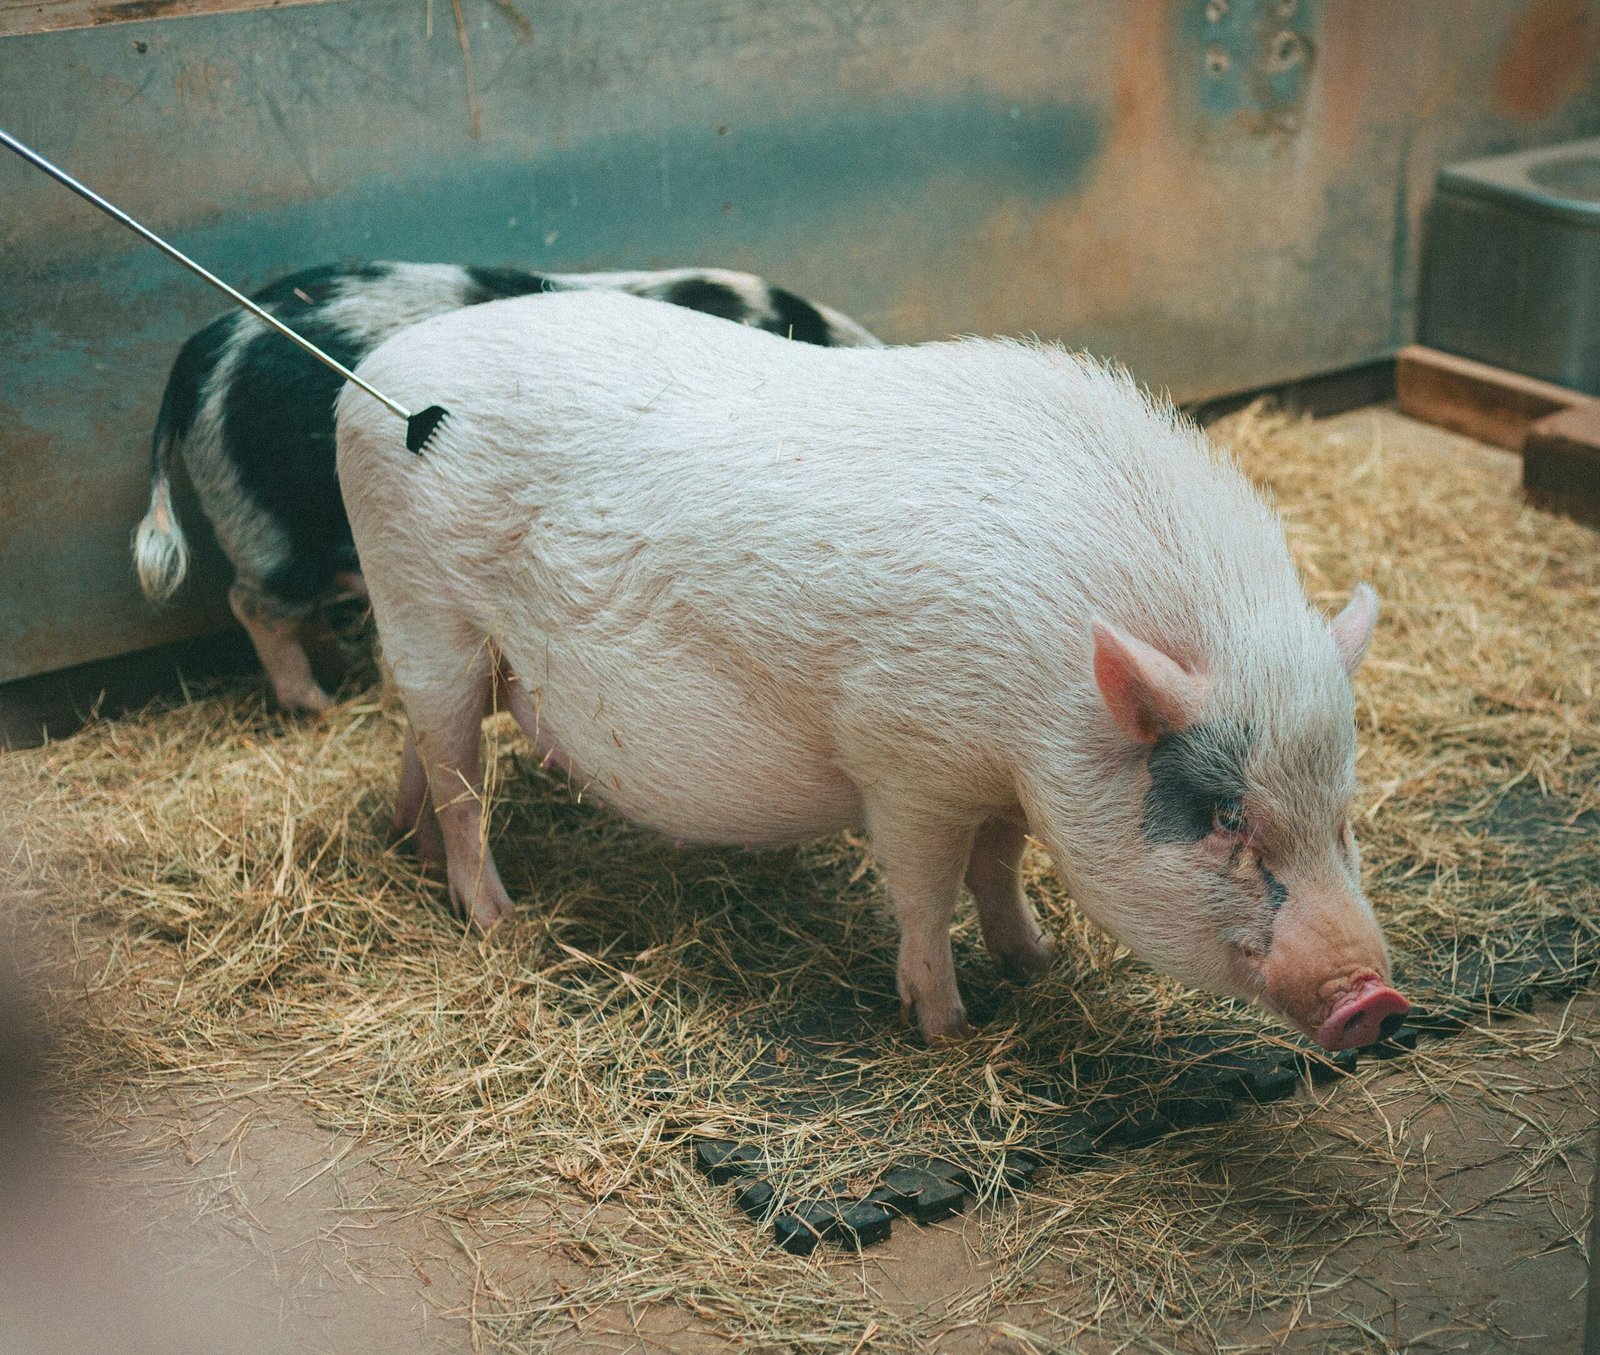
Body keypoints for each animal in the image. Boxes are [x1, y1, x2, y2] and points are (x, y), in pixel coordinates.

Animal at [335, 289, 1409, 1052]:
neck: (1046, 690)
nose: (1377, 999)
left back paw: (407, 844)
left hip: (443, 643)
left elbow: (999, 864)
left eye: (1343, 813)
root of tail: (368, 378)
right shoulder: (905, 760)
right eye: (1227, 816)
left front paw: (1040, 962)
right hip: (425, 606)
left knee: (428, 746)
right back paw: (498, 921)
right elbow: (926, 892)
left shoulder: (1001, 778)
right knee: (462, 777)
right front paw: (950, 1027)